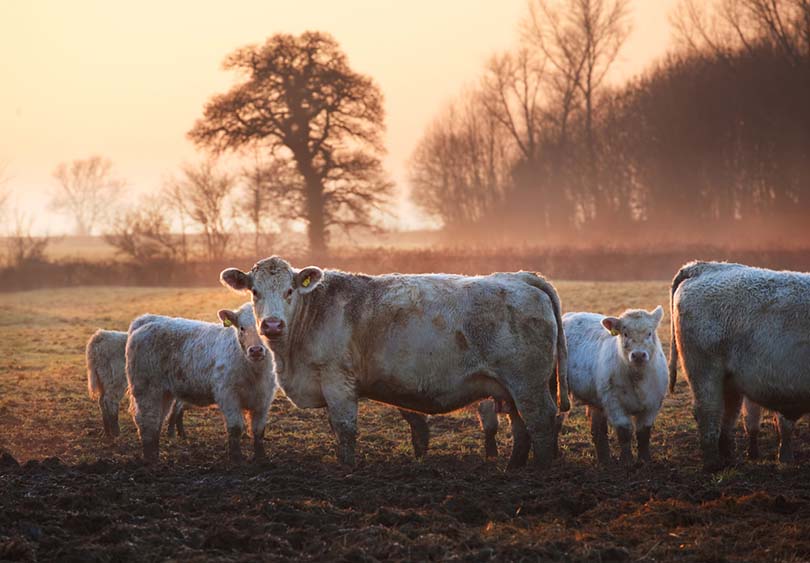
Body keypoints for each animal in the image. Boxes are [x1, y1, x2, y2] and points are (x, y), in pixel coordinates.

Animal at [126, 304, 274, 462]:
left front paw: (261, 458)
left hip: (164, 393)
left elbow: (259, 430)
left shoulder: (264, 399)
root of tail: (146, 320)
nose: (256, 350)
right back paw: (151, 459)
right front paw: (237, 459)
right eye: (241, 328)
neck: (254, 372)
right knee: (147, 420)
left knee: (157, 421)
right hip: (146, 389)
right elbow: (235, 428)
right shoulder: (227, 395)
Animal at [221, 258, 568, 470]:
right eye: (255, 291)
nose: (272, 325)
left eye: (289, 290)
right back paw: (513, 468)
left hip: (528, 384)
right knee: (521, 425)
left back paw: (540, 470)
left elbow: (345, 428)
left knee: (540, 420)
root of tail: (521, 277)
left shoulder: (337, 380)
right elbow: (336, 428)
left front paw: (346, 467)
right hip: (512, 387)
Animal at [560, 306, 664, 464]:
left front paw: (645, 459)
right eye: (625, 333)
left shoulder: (652, 405)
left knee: (598, 430)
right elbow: (624, 432)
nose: (638, 355)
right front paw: (627, 461)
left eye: (649, 333)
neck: (638, 379)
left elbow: (643, 433)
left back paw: (605, 460)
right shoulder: (614, 403)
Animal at [664, 262, 808, 474]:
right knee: (708, 412)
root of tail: (700, 267)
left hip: (730, 381)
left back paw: (729, 459)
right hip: (705, 374)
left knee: (727, 415)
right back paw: (713, 464)